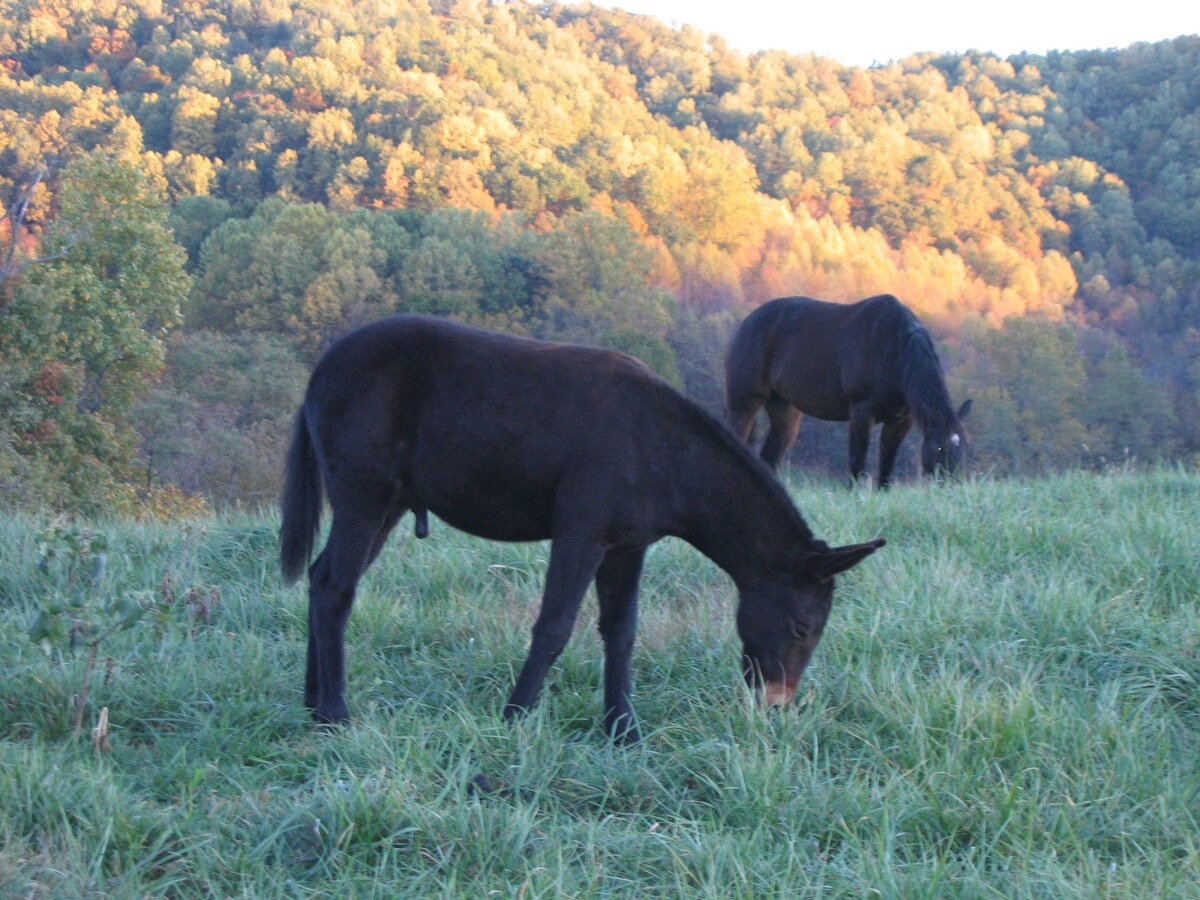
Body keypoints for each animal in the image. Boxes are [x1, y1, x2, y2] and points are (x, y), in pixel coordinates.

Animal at [280, 314, 883, 744]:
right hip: (365, 496)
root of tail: (321, 370)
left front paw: (622, 729)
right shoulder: (581, 533)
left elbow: (621, 630)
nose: (776, 706)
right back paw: (334, 711)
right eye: (802, 628)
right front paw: (515, 716)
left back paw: (311, 699)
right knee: (335, 586)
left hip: (390, 504)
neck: (659, 449)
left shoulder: (627, 546)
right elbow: (554, 626)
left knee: (321, 576)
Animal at [724, 297, 969, 489]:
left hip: (785, 413)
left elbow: (887, 461)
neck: (891, 350)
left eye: (965, 447)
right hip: (744, 404)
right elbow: (857, 460)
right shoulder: (862, 413)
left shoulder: (900, 420)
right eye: (940, 447)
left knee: (769, 458)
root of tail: (748, 322)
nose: (954, 486)